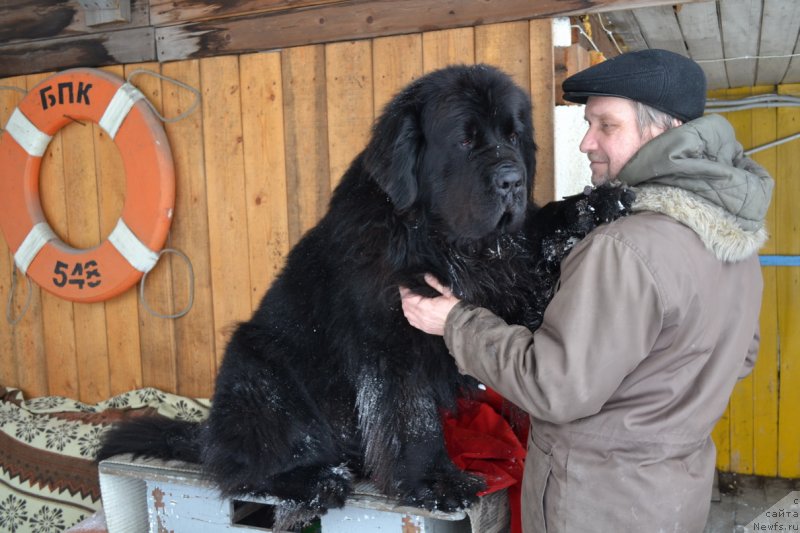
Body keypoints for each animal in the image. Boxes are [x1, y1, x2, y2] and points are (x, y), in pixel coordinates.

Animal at [97, 64, 632, 524]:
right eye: (465, 140)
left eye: (513, 136)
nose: (512, 180)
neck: (442, 242)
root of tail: (210, 434)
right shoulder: (392, 338)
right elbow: (412, 416)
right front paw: (435, 481)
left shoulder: (508, 280)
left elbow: (536, 244)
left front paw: (593, 205)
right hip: (260, 374)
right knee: (243, 468)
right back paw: (316, 479)